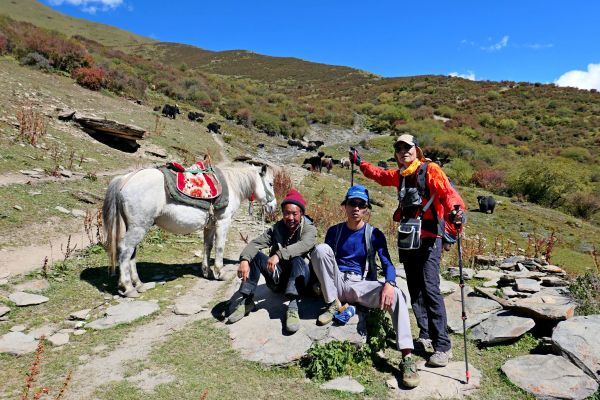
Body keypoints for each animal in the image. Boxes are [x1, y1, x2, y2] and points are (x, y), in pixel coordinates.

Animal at [103, 162, 278, 296]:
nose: (273, 206)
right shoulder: (223, 222)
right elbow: (220, 247)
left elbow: (207, 246)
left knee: (131, 253)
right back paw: (128, 288)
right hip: (138, 227)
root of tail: (126, 179)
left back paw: (139, 284)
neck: (231, 184)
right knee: (125, 250)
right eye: (270, 184)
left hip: (134, 227)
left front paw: (207, 272)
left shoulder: (210, 225)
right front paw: (220, 273)